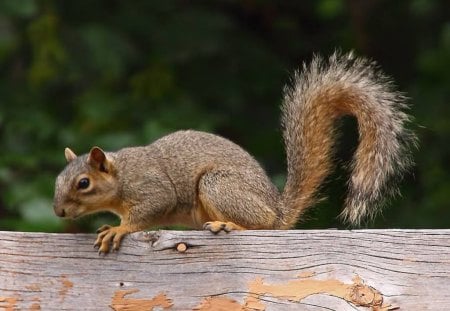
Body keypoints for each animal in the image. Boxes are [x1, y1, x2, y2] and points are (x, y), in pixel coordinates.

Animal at [54, 52, 416, 255]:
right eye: (59, 180)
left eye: (83, 183)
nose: (58, 211)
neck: (122, 174)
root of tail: (278, 211)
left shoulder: (152, 189)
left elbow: (147, 212)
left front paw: (118, 229)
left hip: (219, 185)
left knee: (261, 226)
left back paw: (229, 226)